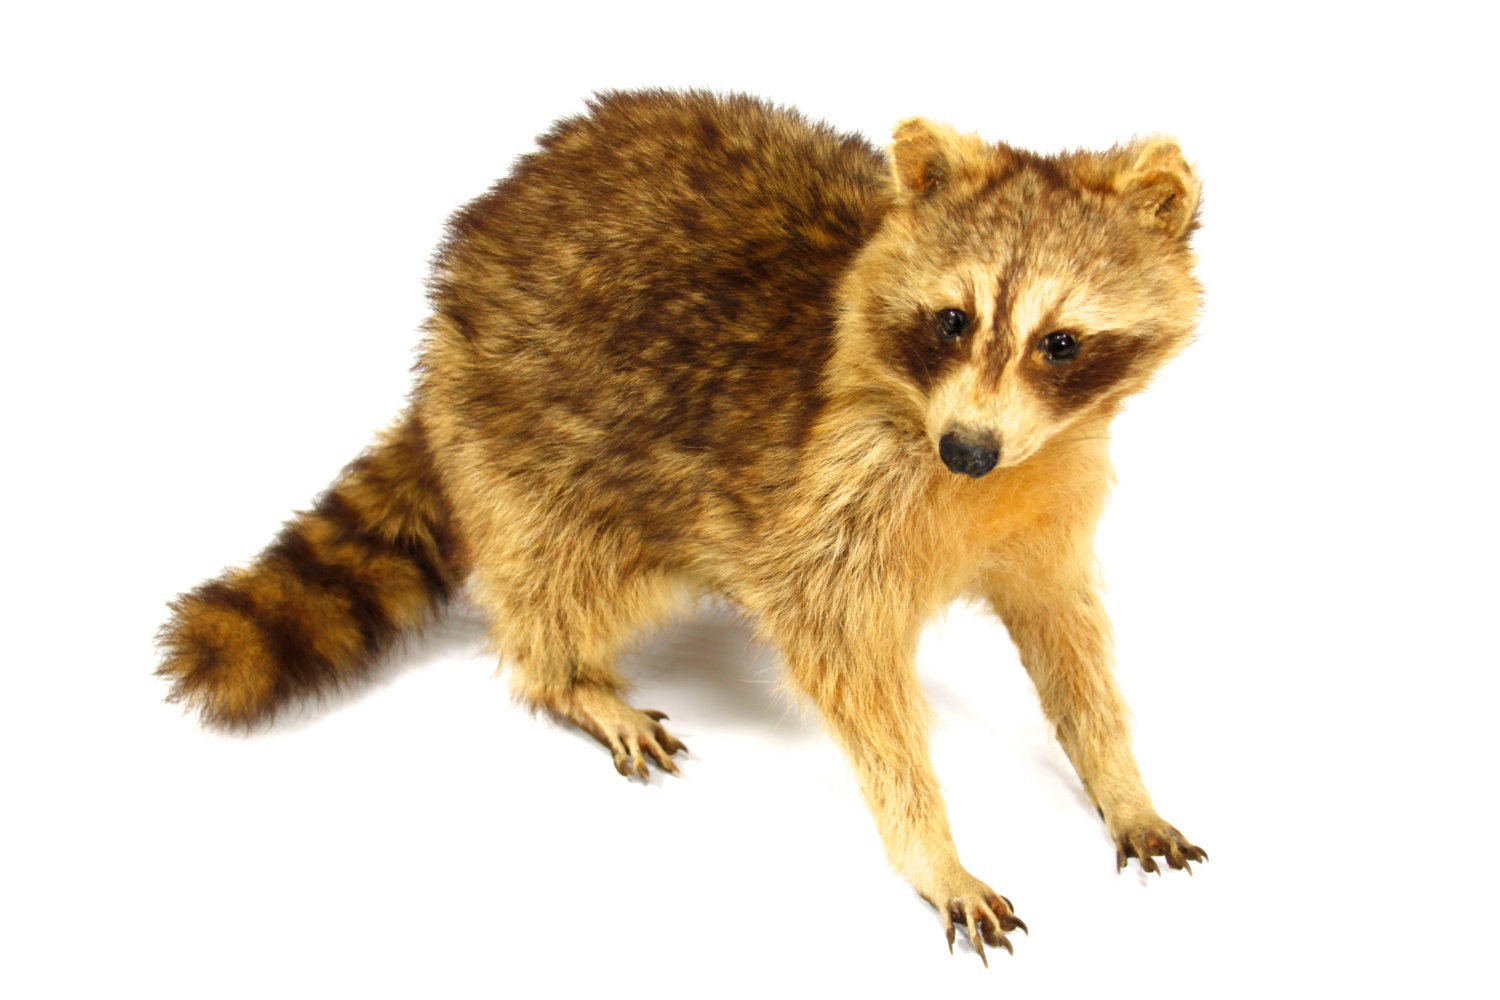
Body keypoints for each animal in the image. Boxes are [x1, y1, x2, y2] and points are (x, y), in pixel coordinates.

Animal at [159, 90, 1206, 962]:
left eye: (1060, 342)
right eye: (952, 320)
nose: (967, 451)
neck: (990, 475)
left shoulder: (1055, 494)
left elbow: (1069, 638)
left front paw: (1119, 776)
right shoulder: (833, 497)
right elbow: (847, 667)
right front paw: (931, 846)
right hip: (533, 440)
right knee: (564, 579)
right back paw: (570, 677)